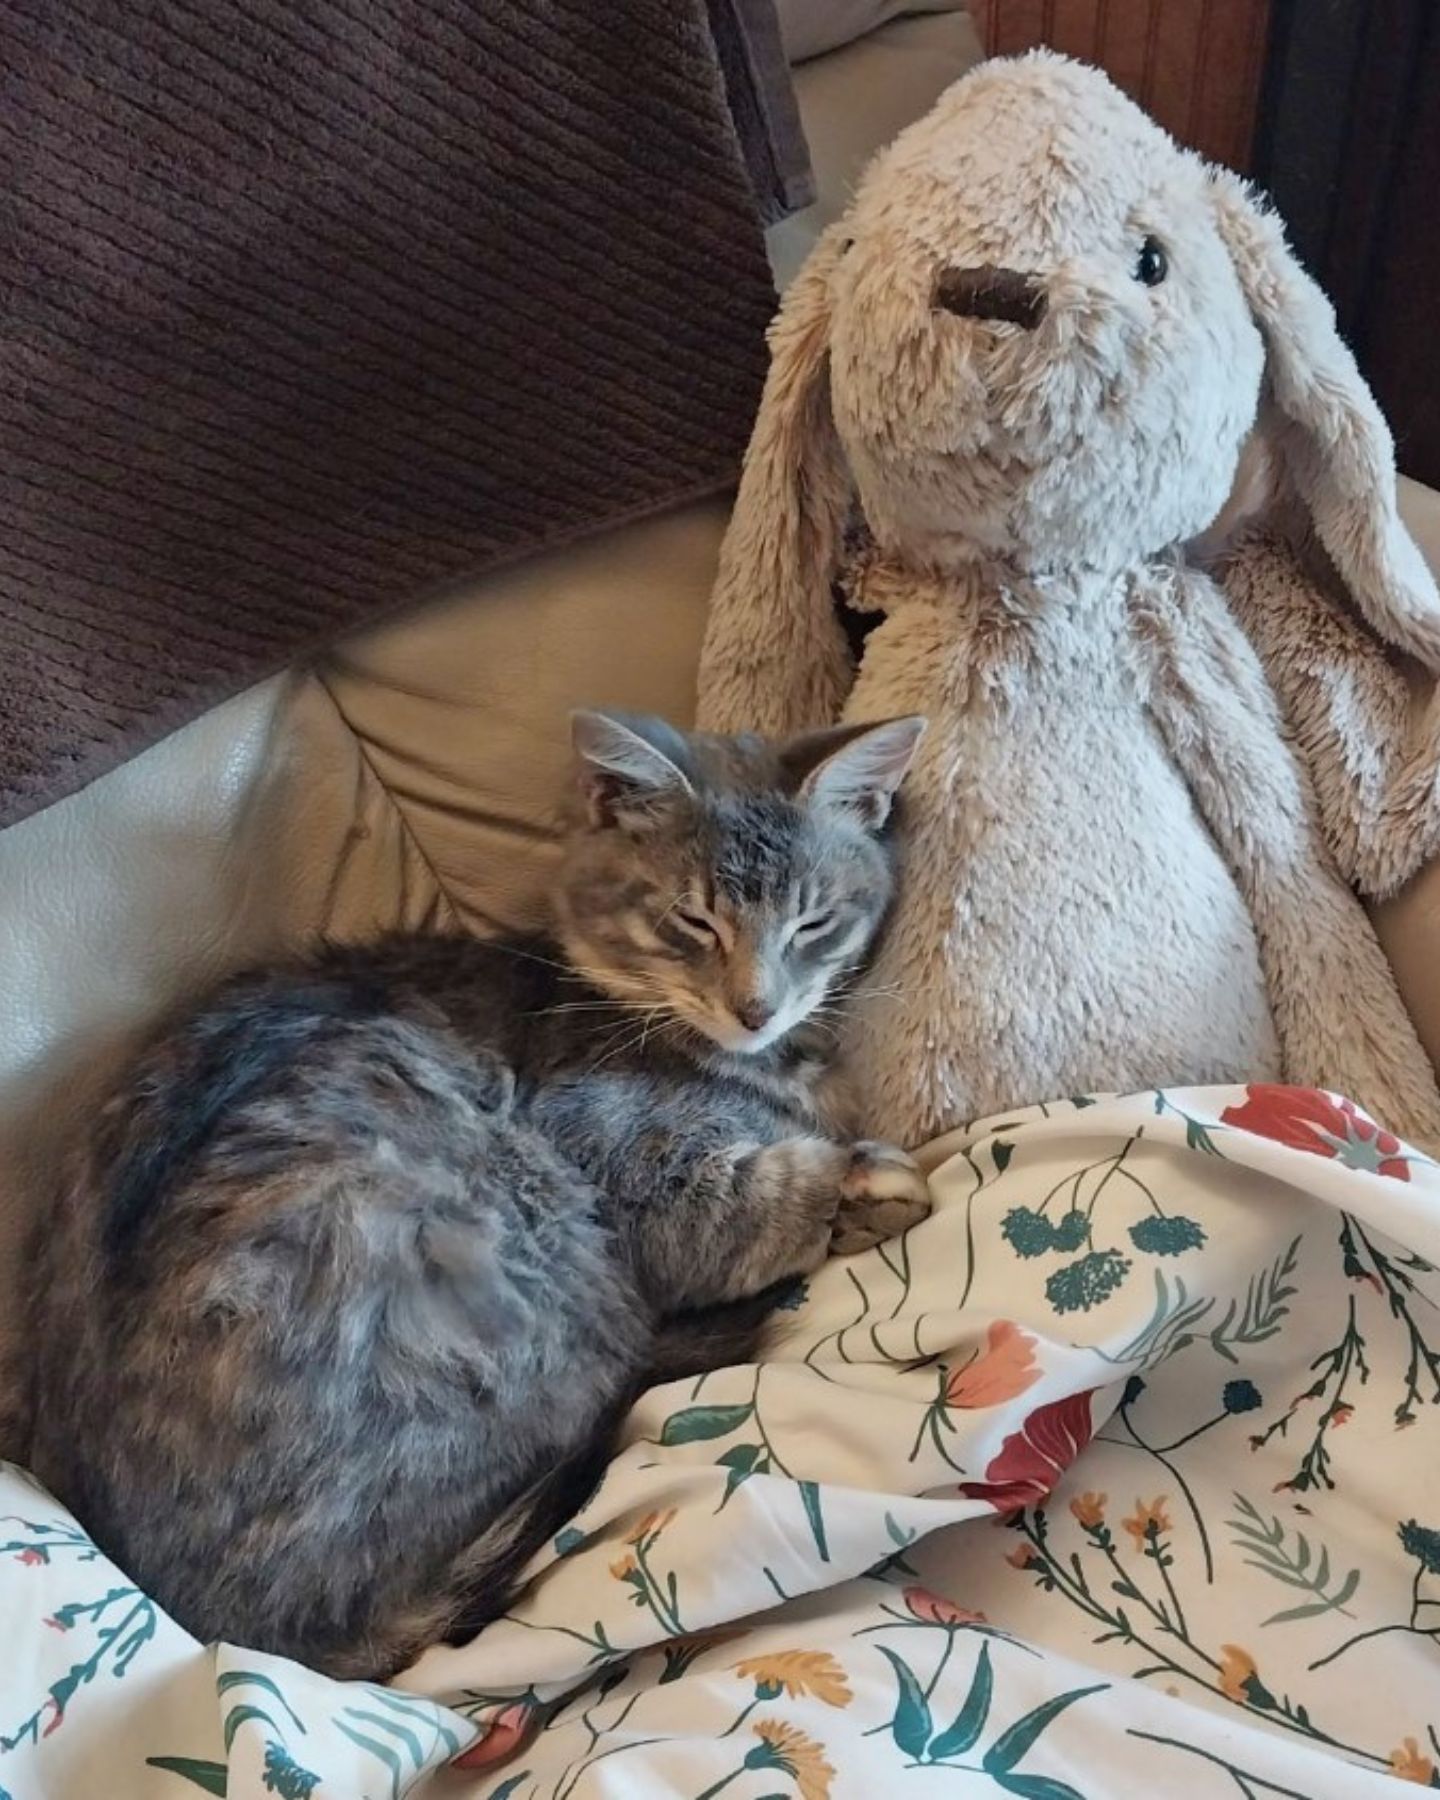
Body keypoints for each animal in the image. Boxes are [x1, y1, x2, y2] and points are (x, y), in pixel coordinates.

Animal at [22, 702, 928, 1670]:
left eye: (813, 924)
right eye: (693, 922)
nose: (756, 1008)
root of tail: (237, 1631)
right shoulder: (615, 1158)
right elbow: (746, 1200)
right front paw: (859, 1183)